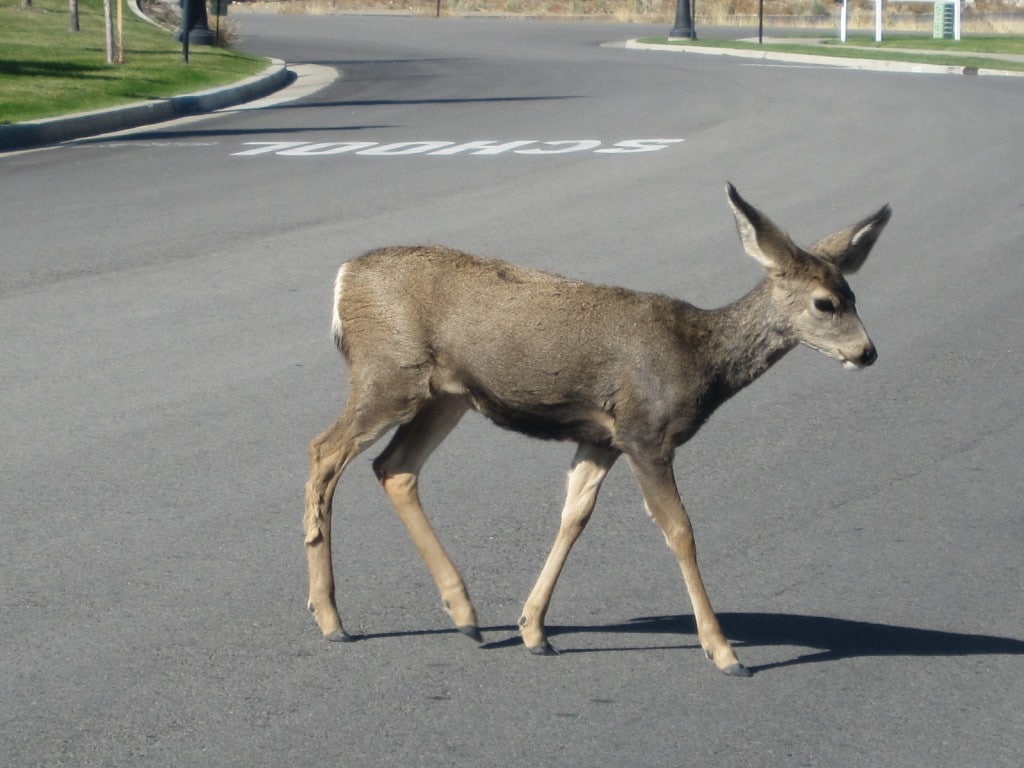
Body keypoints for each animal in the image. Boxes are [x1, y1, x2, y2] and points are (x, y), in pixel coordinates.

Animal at [301, 186, 888, 679]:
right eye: (825, 303)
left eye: (854, 294)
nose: (866, 352)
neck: (701, 360)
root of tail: (344, 277)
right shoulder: (645, 432)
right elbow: (680, 531)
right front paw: (724, 652)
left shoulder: (602, 438)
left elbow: (574, 517)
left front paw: (533, 629)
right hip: (389, 373)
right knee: (324, 451)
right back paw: (331, 619)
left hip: (445, 394)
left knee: (394, 467)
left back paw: (464, 613)